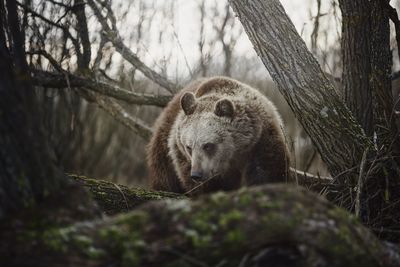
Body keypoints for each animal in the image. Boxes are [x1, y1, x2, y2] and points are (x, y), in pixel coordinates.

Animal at [145, 76, 290, 196]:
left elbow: (267, 171)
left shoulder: (261, 140)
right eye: (188, 147)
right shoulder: (181, 155)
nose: (196, 174)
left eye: (208, 145)